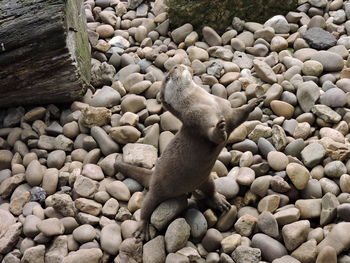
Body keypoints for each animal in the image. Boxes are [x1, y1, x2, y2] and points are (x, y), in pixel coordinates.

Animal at [115, 65, 266, 240]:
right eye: (167, 78)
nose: (176, 66)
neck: (209, 104)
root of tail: (152, 175)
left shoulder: (227, 111)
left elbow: (239, 115)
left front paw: (254, 102)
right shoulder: (196, 120)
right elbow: (213, 136)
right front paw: (219, 129)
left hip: (205, 179)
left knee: (210, 189)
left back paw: (219, 201)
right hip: (154, 192)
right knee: (146, 209)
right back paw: (142, 228)